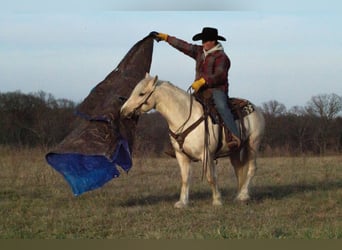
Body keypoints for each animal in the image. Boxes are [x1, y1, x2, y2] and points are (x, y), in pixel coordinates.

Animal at [121, 73, 266, 208]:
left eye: (141, 93)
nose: (123, 111)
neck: (185, 116)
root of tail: (255, 108)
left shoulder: (206, 154)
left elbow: (210, 177)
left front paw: (217, 201)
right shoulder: (181, 156)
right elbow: (185, 178)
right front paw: (183, 202)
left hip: (253, 144)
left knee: (252, 168)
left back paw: (243, 195)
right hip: (235, 151)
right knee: (239, 169)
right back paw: (238, 195)